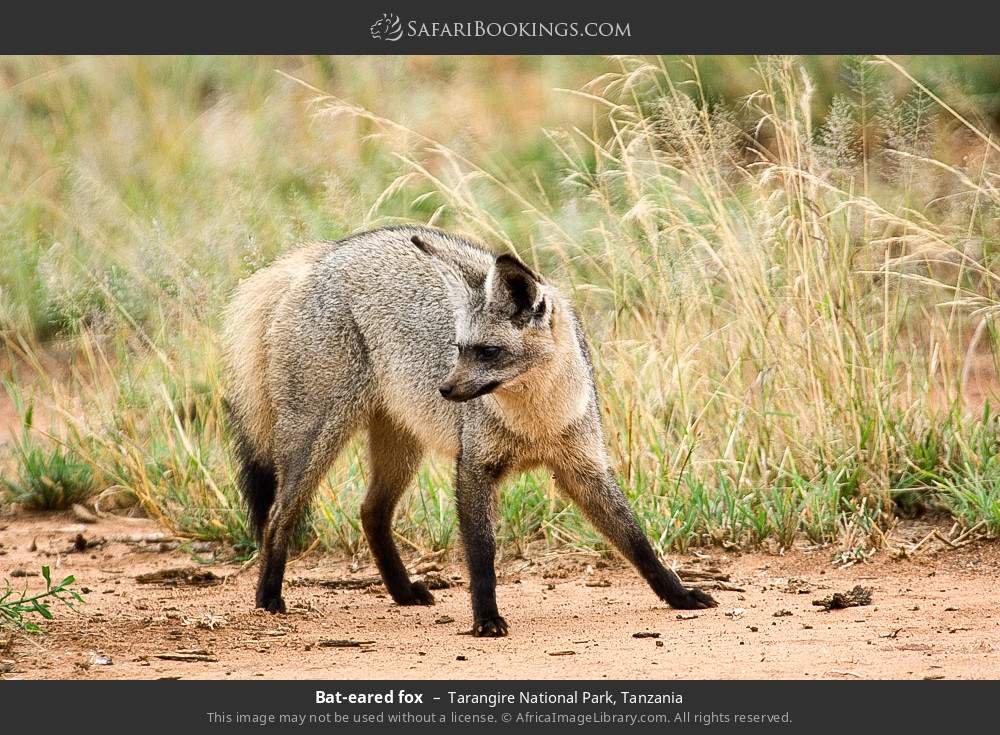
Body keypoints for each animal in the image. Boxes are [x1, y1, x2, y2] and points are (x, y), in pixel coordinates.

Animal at [221, 225, 716, 636]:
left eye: (488, 352)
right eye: (459, 349)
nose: (445, 389)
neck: (534, 423)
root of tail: (325, 252)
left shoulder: (583, 469)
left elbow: (637, 542)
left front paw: (679, 595)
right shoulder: (474, 468)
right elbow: (481, 557)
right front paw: (486, 618)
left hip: (400, 447)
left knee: (370, 512)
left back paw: (402, 592)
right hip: (317, 441)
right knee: (277, 515)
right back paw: (268, 597)